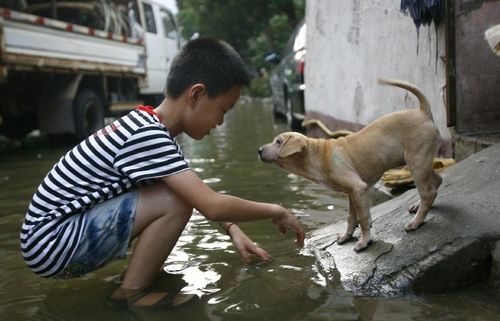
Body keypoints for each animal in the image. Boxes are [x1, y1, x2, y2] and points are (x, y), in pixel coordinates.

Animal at [258, 79, 442, 251]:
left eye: (278, 142)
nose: (259, 150)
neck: (318, 155)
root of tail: (423, 112)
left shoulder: (358, 189)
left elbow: (362, 218)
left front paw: (364, 241)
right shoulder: (351, 193)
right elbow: (351, 217)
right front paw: (347, 235)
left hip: (416, 161)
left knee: (428, 191)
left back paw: (416, 222)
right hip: (421, 161)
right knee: (436, 181)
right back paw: (418, 206)